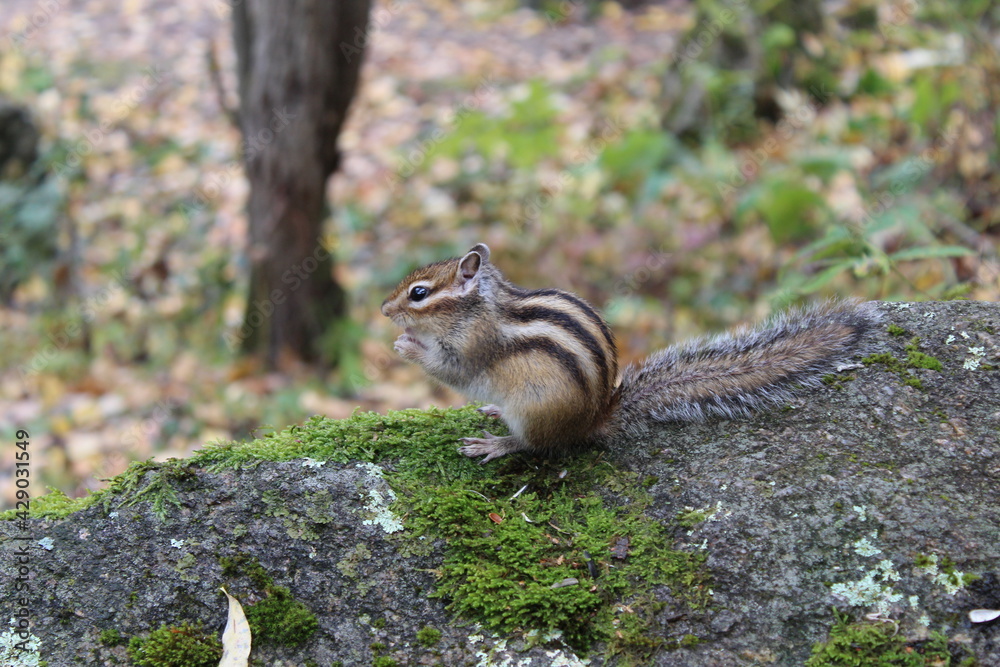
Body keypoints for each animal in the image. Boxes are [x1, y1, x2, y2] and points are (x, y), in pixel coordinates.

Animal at [381, 243, 879, 463]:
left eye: (419, 293)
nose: (384, 309)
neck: (479, 307)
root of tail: (592, 419)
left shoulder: (472, 346)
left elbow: (451, 369)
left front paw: (406, 345)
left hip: (534, 409)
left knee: (536, 444)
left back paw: (497, 443)